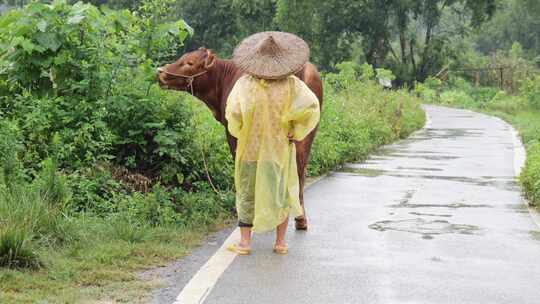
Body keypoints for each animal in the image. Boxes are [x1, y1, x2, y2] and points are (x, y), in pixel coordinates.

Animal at [158, 47, 322, 230]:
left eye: (189, 63)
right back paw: (299, 218)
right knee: (300, 167)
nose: (160, 72)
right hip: (306, 132)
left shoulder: (234, 132)